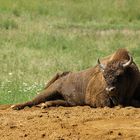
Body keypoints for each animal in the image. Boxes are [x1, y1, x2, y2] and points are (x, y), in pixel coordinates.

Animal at [11, 48, 140, 110]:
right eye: (104, 76)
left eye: (120, 74)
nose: (110, 89)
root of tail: (63, 76)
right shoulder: (97, 99)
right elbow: (111, 105)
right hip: (50, 90)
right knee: (32, 101)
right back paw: (16, 106)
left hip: (67, 102)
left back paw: (45, 105)